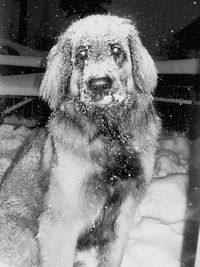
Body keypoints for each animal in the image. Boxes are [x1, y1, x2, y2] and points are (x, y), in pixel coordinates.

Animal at [0, 15, 160, 267]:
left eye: (116, 50)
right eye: (82, 54)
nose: (100, 84)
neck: (110, 135)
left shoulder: (124, 212)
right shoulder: (60, 221)